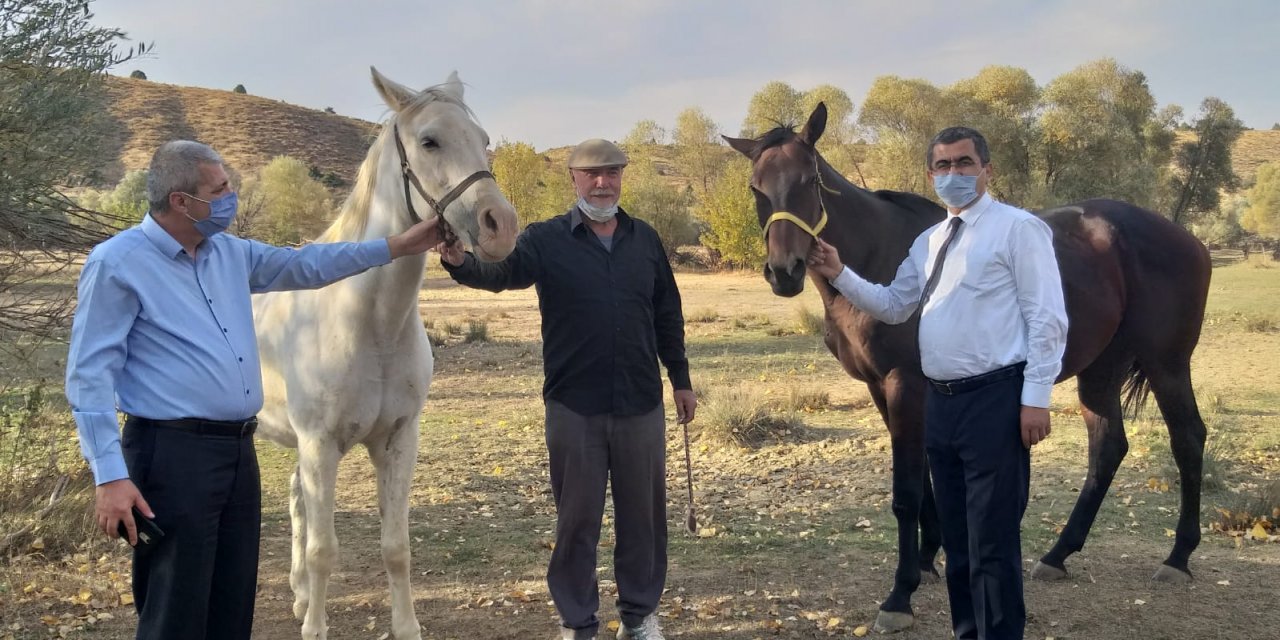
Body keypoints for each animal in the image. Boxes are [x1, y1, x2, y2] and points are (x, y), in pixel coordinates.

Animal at [252, 67, 517, 637]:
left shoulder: (397, 441)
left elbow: (396, 548)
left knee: (296, 500)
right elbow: (325, 551)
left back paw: (300, 596)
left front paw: (406, 626)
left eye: (483, 139)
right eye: (429, 141)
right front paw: (316, 629)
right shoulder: (321, 444)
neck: (371, 325)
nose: (501, 226)